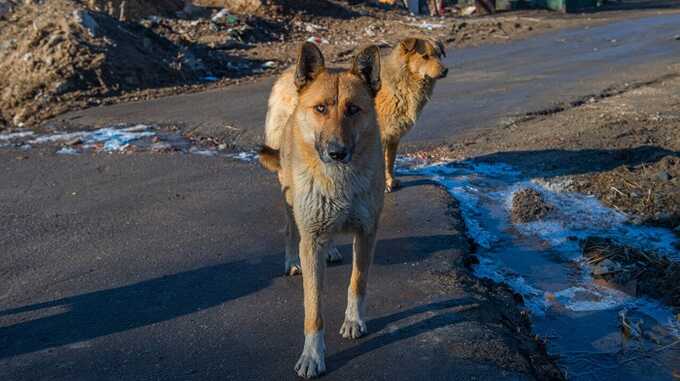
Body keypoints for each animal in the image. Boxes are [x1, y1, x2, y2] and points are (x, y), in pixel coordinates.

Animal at [258, 42, 382, 378]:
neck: (338, 180)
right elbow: (313, 309)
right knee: (290, 230)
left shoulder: (366, 233)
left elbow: (358, 282)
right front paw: (313, 355)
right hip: (290, 199)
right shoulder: (311, 240)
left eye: (353, 109)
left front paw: (354, 320)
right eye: (321, 109)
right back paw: (291, 260)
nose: (337, 152)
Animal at [374, 37, 448, 191]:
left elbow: (390, 161)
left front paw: (390, 180)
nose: (445, 70)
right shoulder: (382, 136)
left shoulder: (393, 136)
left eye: (439, 55)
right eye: (425, 56)